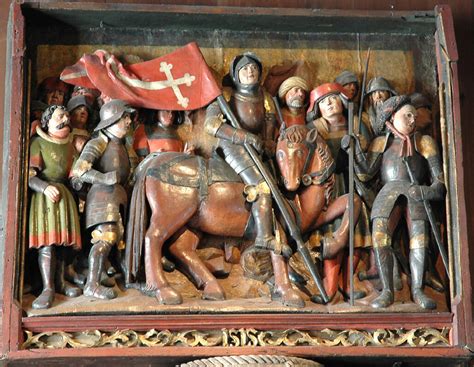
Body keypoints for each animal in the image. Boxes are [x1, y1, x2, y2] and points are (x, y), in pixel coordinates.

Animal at [126, 152, 304, 308]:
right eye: (282, 154)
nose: (293, 182)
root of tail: (152, 161)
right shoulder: (277, 228)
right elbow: (278, 255)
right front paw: (288, 293)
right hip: (171, 214)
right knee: (153, 238)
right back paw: (164, 290)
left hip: (190, 224)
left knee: (181, 248)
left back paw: (212, 288)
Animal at [274, 125, 362, 304]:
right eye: (279, 153)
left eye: (300, 152)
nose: (290, 185)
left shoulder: (318, 217)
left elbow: (354, 200)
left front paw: (332, 244)